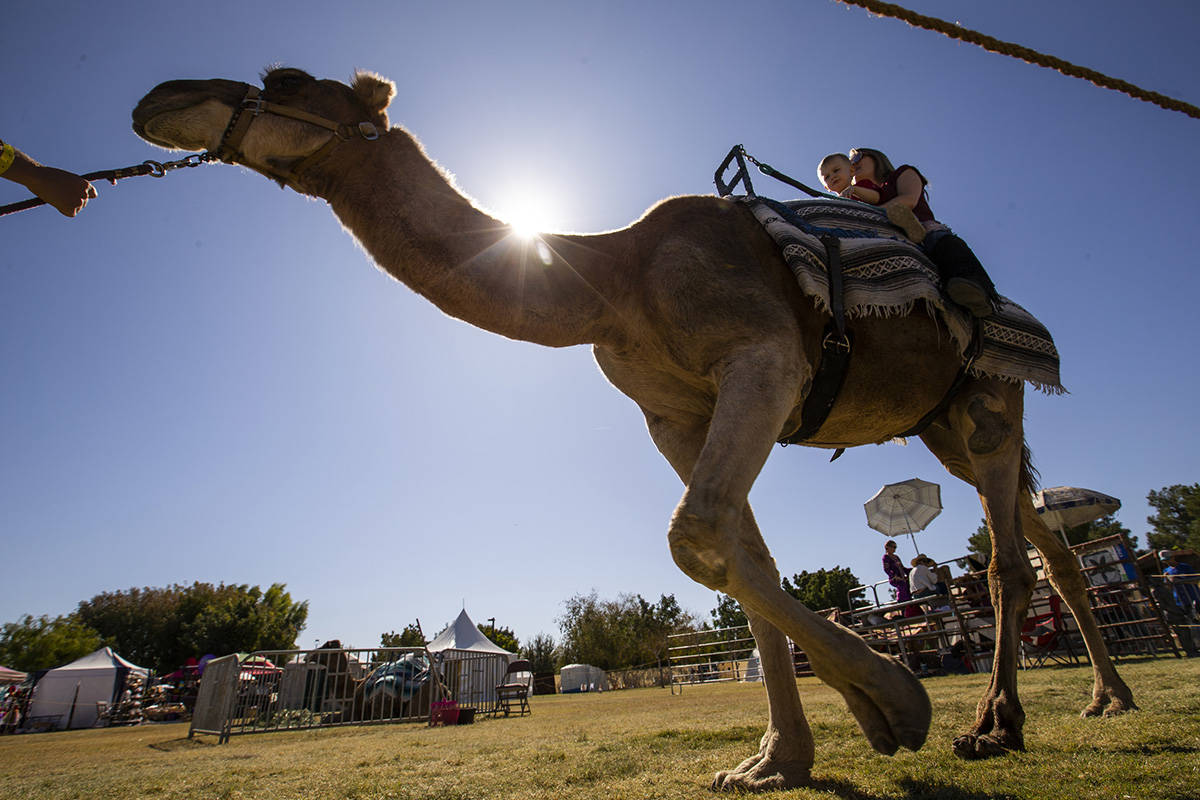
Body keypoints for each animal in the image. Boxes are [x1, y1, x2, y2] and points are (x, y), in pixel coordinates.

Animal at [131, 67, 1132, 786]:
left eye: (288, 80)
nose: (161, 98)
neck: (612, 283)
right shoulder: (674, 415)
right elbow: (738, 555)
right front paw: (777, 760)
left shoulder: (765, 359)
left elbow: (696, 534)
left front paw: (898, 706)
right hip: (938, 424)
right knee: (1051, 543)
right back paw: (1105, 698)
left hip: (988, 396)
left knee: (1006, 561)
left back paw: (995, 725)